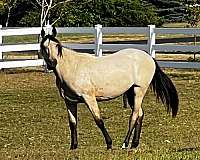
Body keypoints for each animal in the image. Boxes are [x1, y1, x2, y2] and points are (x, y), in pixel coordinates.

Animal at [39, 26, 179, 150]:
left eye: (57, 46)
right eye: (43, 47)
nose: (52, 64)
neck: (73, 67)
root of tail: (149, 57)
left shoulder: (89, 98)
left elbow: (99, 120)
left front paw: (109, 144)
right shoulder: (69, 101)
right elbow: (73, 123)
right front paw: (73, 146)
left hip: (139, 91)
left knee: (133, 116)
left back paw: (125, 144)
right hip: (131, 93)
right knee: (140, 114)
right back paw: (134, 144)